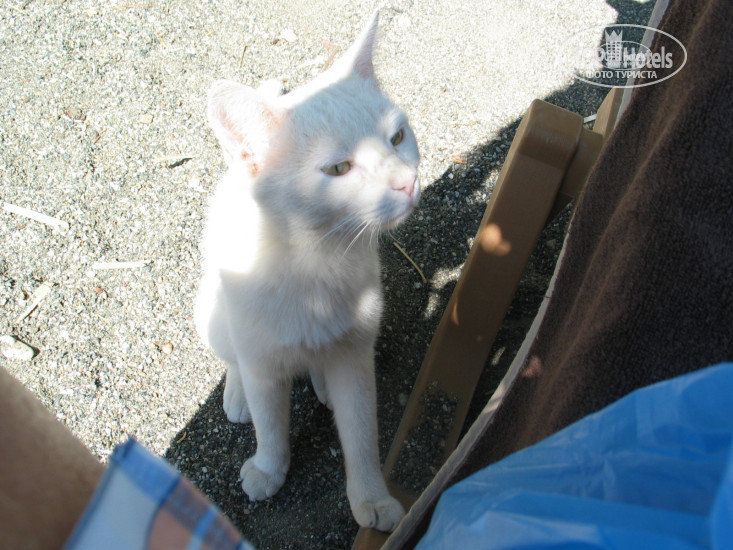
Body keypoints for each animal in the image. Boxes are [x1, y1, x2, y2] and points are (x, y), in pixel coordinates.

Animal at [194, 11, 420, 532]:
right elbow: (271, 423)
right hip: (211, 312)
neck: (316, 258)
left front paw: (371, 498)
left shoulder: (356, 353)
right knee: (231, 356)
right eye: (337, 168)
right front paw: (268, 470)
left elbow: (361, 432)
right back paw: (237, 393)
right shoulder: (262, 361)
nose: (408, 182)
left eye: (398, 138)